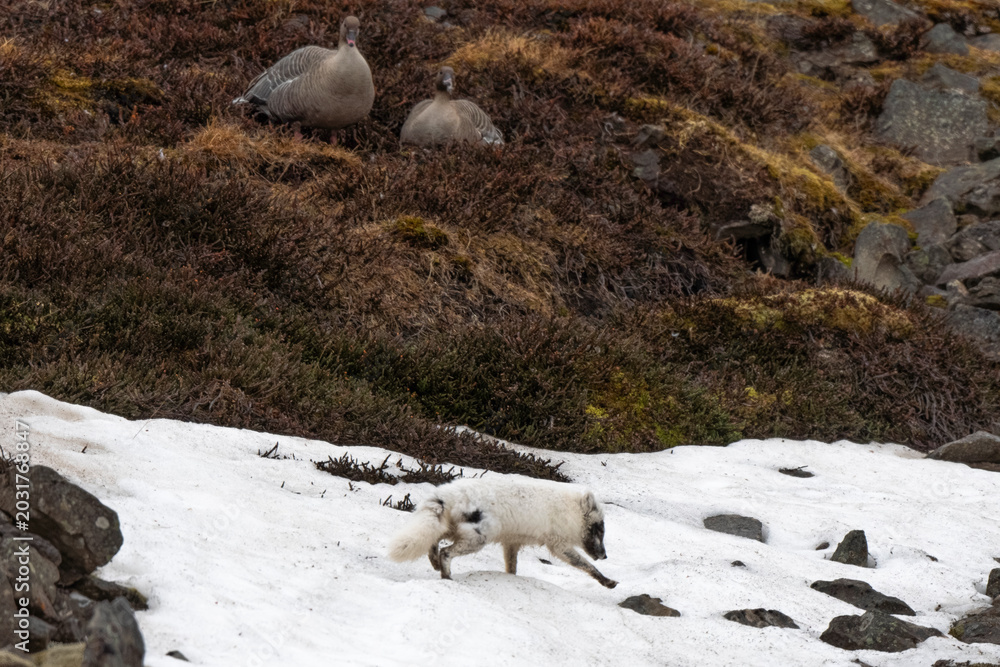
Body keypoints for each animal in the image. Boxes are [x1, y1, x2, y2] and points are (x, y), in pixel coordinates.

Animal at [387, 476, 617, 588]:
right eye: (600, 528)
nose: (605, 555)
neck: (571, 512)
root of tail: (446, 494)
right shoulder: (559, 545)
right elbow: (586, 566)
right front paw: (607, 581)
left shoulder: (511, 543)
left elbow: (511, 568)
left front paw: (510, 579)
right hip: (477, 539)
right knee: (446, 551)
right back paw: (446, 575)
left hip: (452, 529)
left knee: (433, 542)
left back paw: (435, 563)